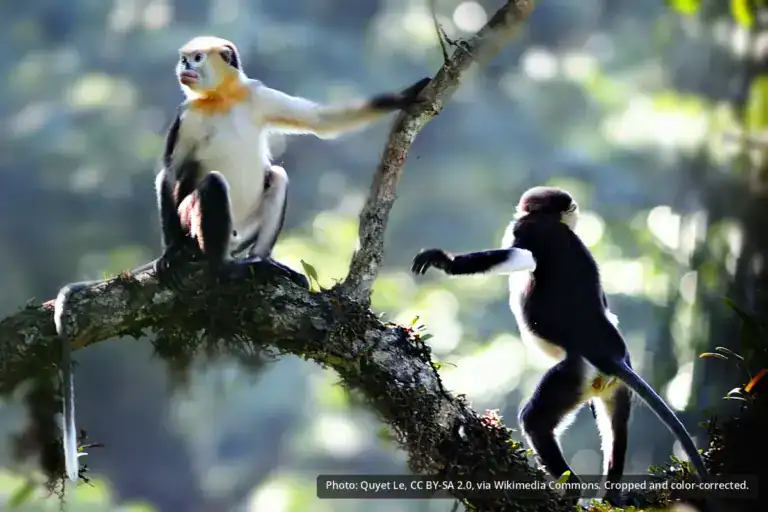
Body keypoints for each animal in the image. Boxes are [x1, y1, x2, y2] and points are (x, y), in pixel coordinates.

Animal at [154, 35, 432, 289]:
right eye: (184, 59)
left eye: (197, 58)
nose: (184, 66)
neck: (222, 98)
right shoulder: (188, 116)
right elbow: (170, 172)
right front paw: (171, 253)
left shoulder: (258, 95)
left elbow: (320, 120)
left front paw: (406, 95)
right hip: (191, 222)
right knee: (213, 182)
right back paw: (223, 266)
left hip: (244, 231)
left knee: (278, 176)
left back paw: (261, 260)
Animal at [410, 186, 708, 503]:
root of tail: (611, 355)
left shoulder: (529, 229)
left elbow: (519, 254)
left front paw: (445, 261)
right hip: (612, 385)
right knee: (615, 429)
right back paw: (611, 495)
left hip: (573, 372)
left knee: (535, 421)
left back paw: (572, 487)